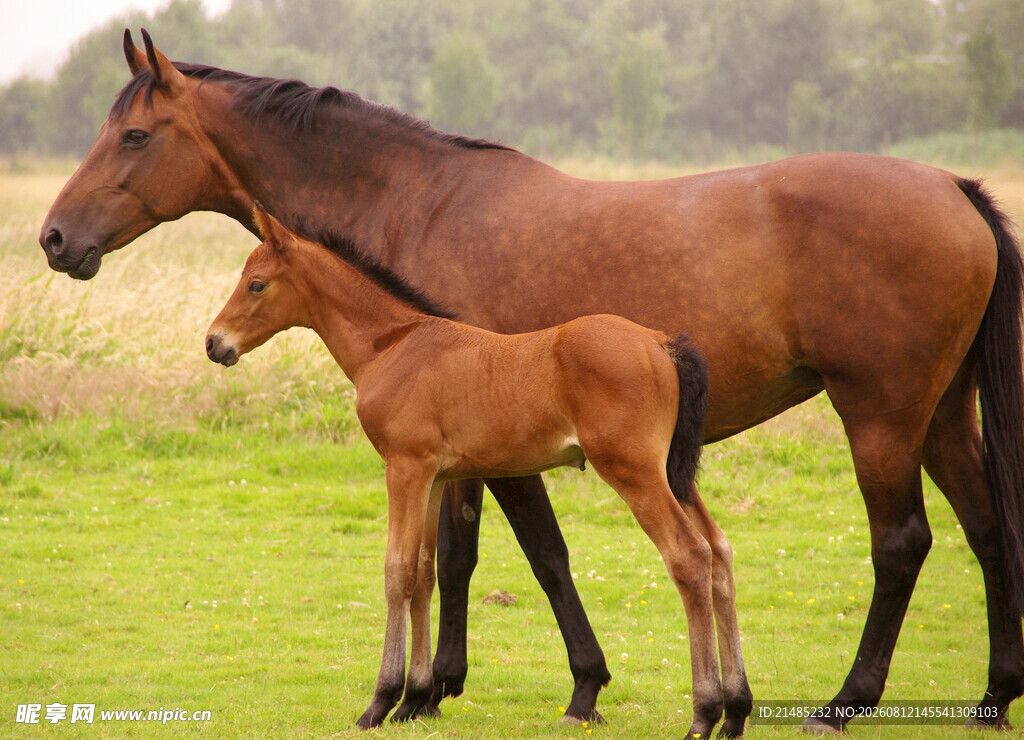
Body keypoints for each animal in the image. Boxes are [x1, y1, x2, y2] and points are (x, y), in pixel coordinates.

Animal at [205, 203, 728, 736]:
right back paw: (737, 709)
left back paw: (704, 714)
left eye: (257, 284)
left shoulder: (405, 468)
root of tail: (662, 343)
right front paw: (414, 700)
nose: (213, 343)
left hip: (634, 470)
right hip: (672, 474)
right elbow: (422, 572)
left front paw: (381, 701)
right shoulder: (435, 477)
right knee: (720, 554)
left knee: (689, 556)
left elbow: (397, 571)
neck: (391, 345)